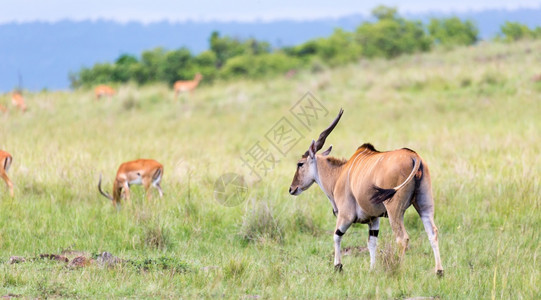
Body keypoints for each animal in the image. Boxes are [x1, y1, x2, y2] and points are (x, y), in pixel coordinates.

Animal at [286, 109, 442, 276]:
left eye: (300, 164)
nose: (292, 188)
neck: (339, 174)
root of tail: (415, 157)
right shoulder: (374, 219)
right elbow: (372, 242)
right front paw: (372, 269)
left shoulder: (346, 215)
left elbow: (336, 236)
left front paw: (338, 266)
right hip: (424, 205)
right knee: (432, 233)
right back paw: (439, 271)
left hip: (394, 210)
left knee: (402, 238)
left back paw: (398, 270)